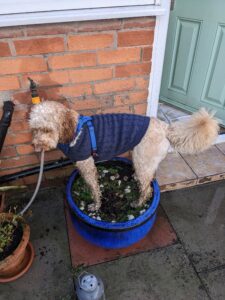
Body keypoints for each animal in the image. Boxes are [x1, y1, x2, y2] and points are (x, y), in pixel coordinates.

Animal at [29, 101, 218, 211]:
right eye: (34, 129)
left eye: (47, 129)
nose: (37, 146)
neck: (74, 130)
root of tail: (165, 127)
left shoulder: (87, 165)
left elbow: (94, 189)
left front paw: (95, 206)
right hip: (144, 160)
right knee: (150, 179)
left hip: (142, 160)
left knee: (148, 189)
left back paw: (138, 204)